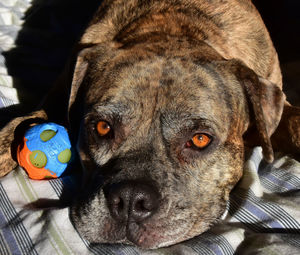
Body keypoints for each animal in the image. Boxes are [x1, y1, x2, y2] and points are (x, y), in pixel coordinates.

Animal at [0, 0, 300, 250]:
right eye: (102, 127)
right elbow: (12, 131)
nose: (131, 200)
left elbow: (295, 125)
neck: (172, 26)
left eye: (200, 139)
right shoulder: (53, 100)